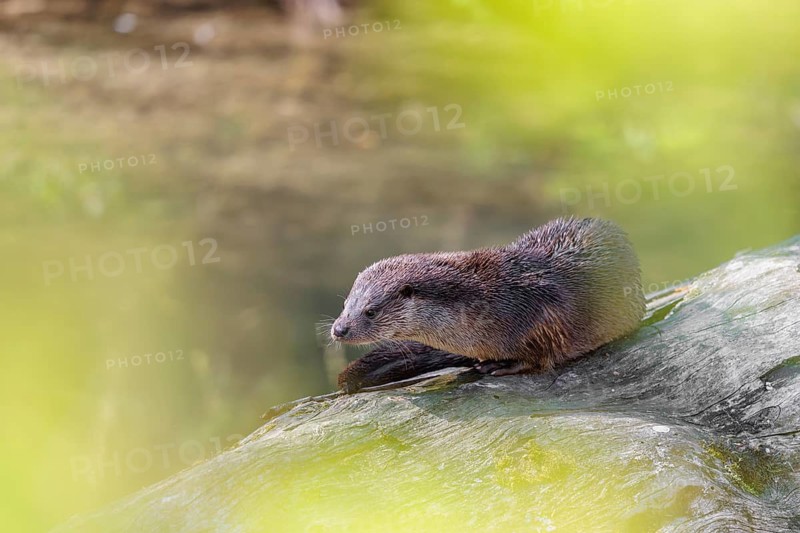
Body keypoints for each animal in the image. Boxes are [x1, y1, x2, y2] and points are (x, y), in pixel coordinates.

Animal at [332, 217, 645, 393]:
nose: (339, 329)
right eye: (346, 304)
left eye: (370, 311)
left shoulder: (543, 314)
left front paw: (501, 365)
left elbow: (541, 356)